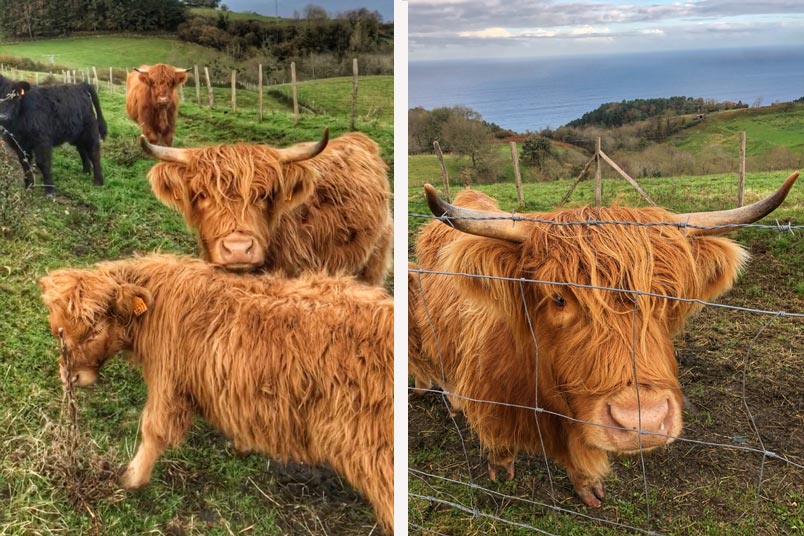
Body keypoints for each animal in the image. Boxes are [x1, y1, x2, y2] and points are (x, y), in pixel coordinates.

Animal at [39, 255, 398, 532]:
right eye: (58, 329)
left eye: (95, 329)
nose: (70, 375)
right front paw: (241, 445)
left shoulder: (169, 380)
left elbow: (153, 430)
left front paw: (132, 478)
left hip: (372, 445)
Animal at [412, 174, 800, 508]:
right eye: (558, 298)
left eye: (666, 297)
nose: (643, 422)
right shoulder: (491, 398)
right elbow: (498, 440)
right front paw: (501, 468)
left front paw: (587, 486)